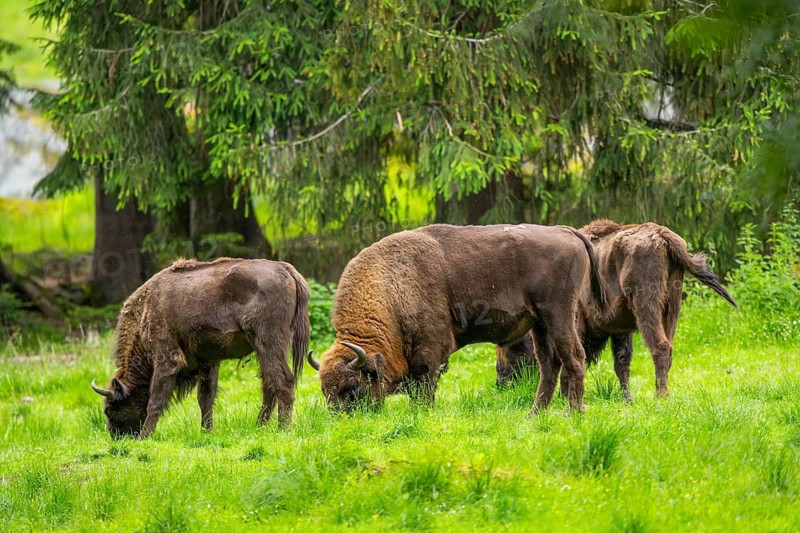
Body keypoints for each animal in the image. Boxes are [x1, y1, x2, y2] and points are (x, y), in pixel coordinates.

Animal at [91, 258, 310, 438]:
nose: (116, 436)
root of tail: (286, 270)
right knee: (268, 384)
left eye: (110, 409)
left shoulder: (166, 358)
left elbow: (156, 400)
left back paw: (282, 429)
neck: (146, 308)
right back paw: (259, 427)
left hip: (268, 342)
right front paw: (206, 431)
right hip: (262, 348)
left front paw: (146, 436)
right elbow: (205, 398)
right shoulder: (208, 363)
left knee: (283, 381)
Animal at [308, 223, 608, 414]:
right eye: (326, 392)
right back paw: (535, 413)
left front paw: (421, 414)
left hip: (558, 314)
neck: (392, 286)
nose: (339, 418)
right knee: (549, 365)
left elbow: (423, 386)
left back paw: (573, 411)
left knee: (573, 356)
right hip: (539, 324)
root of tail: (565, 231)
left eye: (353, 389)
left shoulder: (430, 349)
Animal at [496, 220, 737, 399]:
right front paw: (627, 398)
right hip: (672, 308)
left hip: (646, 306)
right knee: (668, 347)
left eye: (516, 347)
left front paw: (565, 396)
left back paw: (660, 396)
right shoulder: (620, 330)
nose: (500, 380)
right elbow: (622, 363)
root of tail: (663, 237)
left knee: (659, 346)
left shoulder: (578, 324)